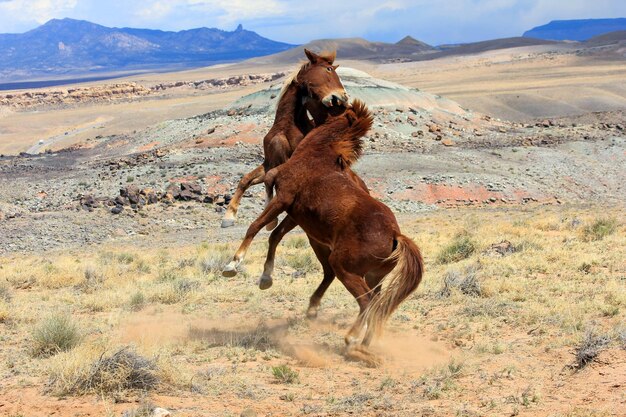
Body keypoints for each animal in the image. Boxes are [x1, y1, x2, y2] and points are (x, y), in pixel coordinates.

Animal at [219, 49, 346, 231]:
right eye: (328, 69)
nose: (343, 97)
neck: (284, 128)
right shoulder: (269, 163)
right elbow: (246, 179)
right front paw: (228, 217)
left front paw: (271, 220)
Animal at [222, 100, 422, 360]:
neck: (315, 155)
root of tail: (396, 237)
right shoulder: (293, 211)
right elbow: (273, 233)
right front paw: (264, 277)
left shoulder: (283, 199)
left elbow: (255, 226)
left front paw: (232, 265)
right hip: (372, 275)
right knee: (376, 303)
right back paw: (363, 345)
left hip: (345, 267)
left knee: (366, 301)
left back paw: (351, 340)